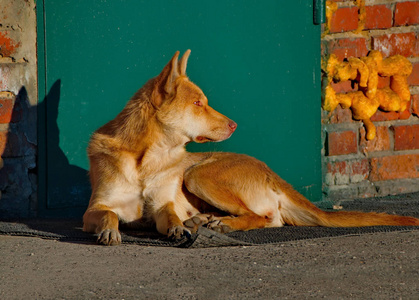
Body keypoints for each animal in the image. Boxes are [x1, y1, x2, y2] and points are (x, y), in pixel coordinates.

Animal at [83, 49, 419, 246]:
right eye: (198, 104)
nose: (234, 125)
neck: (147, 158)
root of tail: (270, 173)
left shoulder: (163, 206)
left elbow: (171, 217)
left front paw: (179, 228)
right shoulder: (93, 209)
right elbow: (109, 215)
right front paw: (110, 229)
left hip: (197, 175)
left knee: (263, 218)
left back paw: (221, 223)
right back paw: (204, 220)